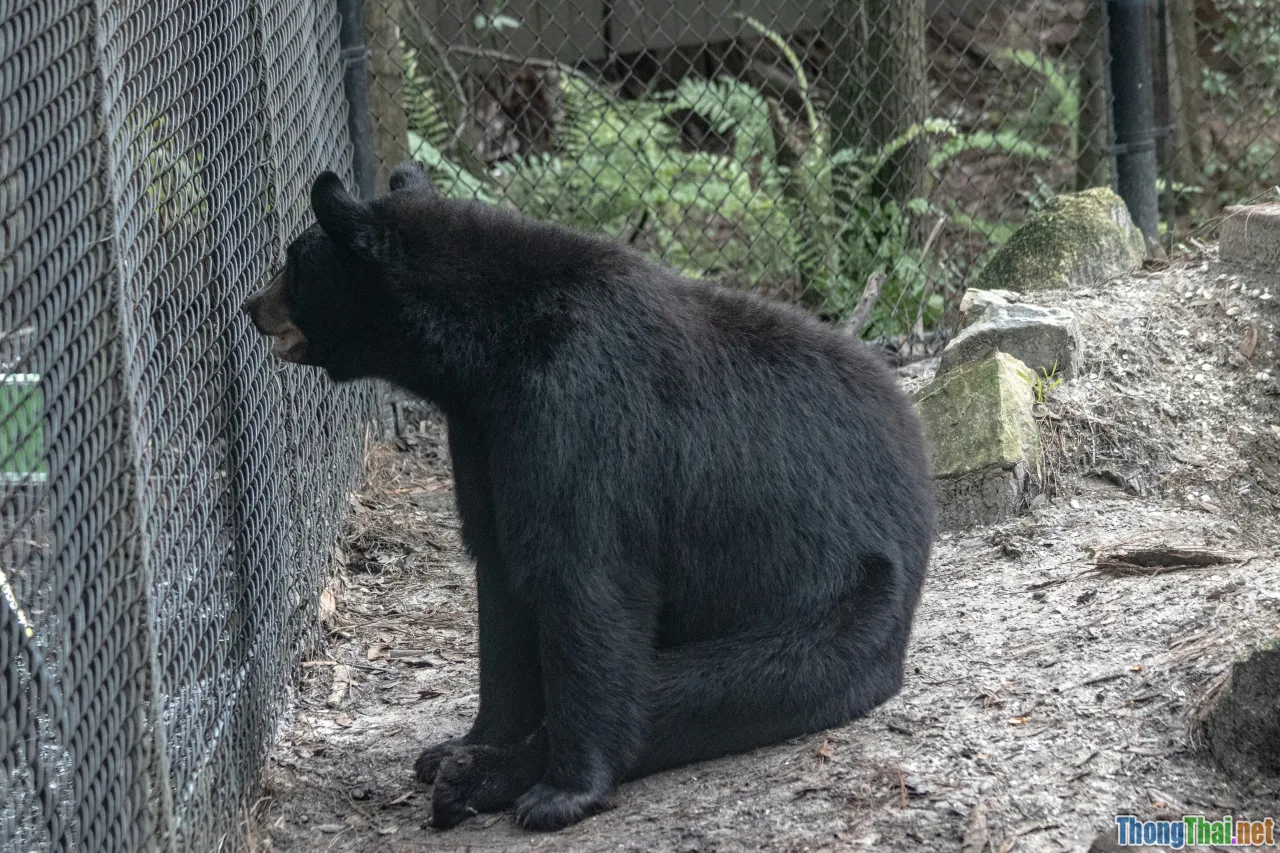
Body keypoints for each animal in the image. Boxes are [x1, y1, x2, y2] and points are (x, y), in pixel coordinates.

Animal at [242, 161, 936, 832]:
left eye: (293, 260)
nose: (251, 303)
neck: (489, 352)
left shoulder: (580, 407)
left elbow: (585, 579)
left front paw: (562, 792)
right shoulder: (484, 434)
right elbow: (499, 579)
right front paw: (463, 739)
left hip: (838, 605)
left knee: (687, 689)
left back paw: (483, 779)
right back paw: (460, 768)